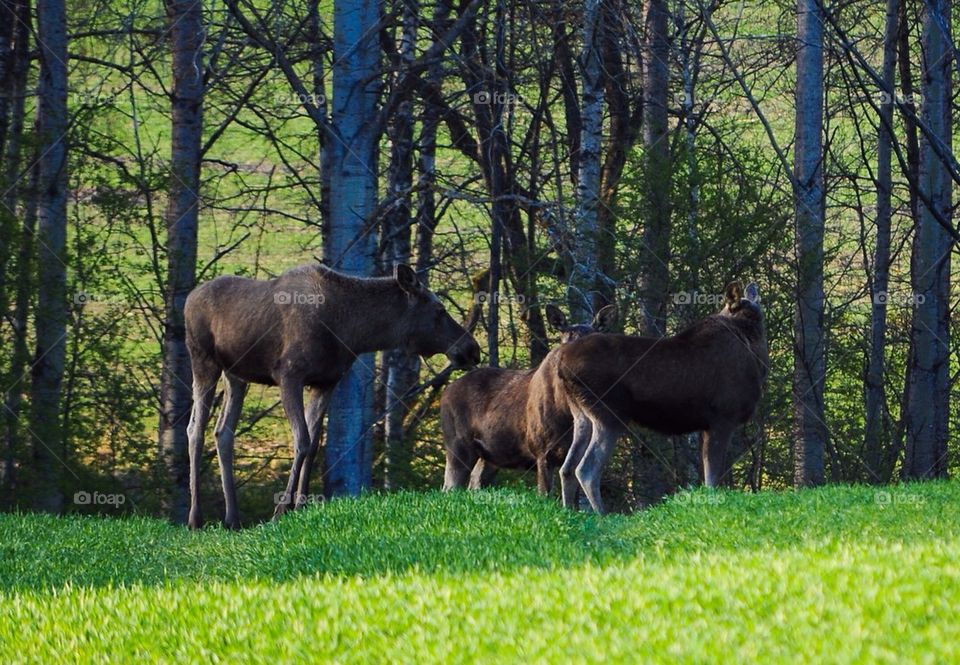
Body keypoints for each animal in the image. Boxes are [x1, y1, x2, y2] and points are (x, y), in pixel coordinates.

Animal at [183, 262, 480, 528]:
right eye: (439, 310)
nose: (472, 349)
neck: (351, 332)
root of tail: (187, 299)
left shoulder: (326, 382)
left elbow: (314, 444)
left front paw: (300, 506)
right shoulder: (288, 374)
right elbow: (302, 439)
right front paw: (281, 510)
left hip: (236, 375)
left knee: (223, 432)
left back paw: (232, 519)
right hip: (203, 360)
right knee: (195, 429)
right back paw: (195, 519)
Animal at [440, 304, 616, 490]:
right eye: (565, 341)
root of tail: (445, 392)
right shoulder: (542, 450)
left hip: (489, 457)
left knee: (474, 482)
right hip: (457, 445)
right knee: (449, 487)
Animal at [556, 280, 764, 512]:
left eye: (759, 317)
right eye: (750, 319)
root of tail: (561, 364)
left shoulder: (708, 426)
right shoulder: (722, 418)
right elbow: (712, 477)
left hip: (581, 416)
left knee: (566, 468)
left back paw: (570, 512)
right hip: (609, 415)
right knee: (586, 470)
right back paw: (603, 514)